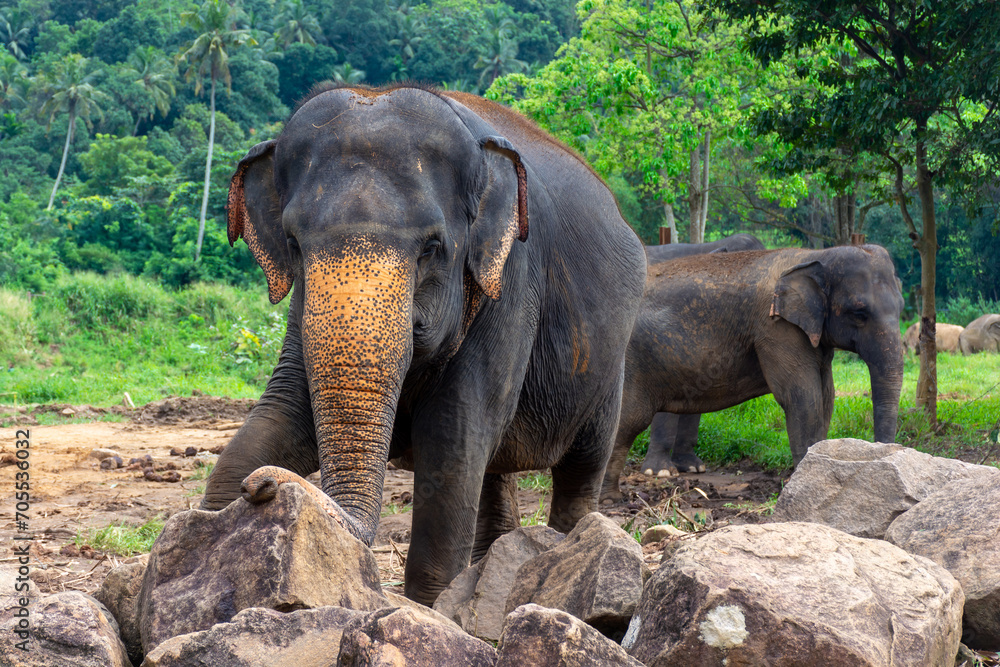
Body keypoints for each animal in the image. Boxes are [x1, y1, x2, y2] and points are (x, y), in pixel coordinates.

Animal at [204, 83, 648, 604]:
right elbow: (282, 414)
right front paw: (218, 515)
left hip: (608, 365)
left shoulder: (512, 284)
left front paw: (426, 605)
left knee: (581, 469)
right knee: (493, 474)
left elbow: (452, 444)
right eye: (293, 244)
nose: (262, 486)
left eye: (432, 248)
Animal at [600, 243, 908, 498]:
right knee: (627, 418)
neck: (816, 254)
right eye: (859, 313)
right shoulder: (775, 328)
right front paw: (802, 480)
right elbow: (801, 397)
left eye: (903, 307)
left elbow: (825, 396)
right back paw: (611, 500)